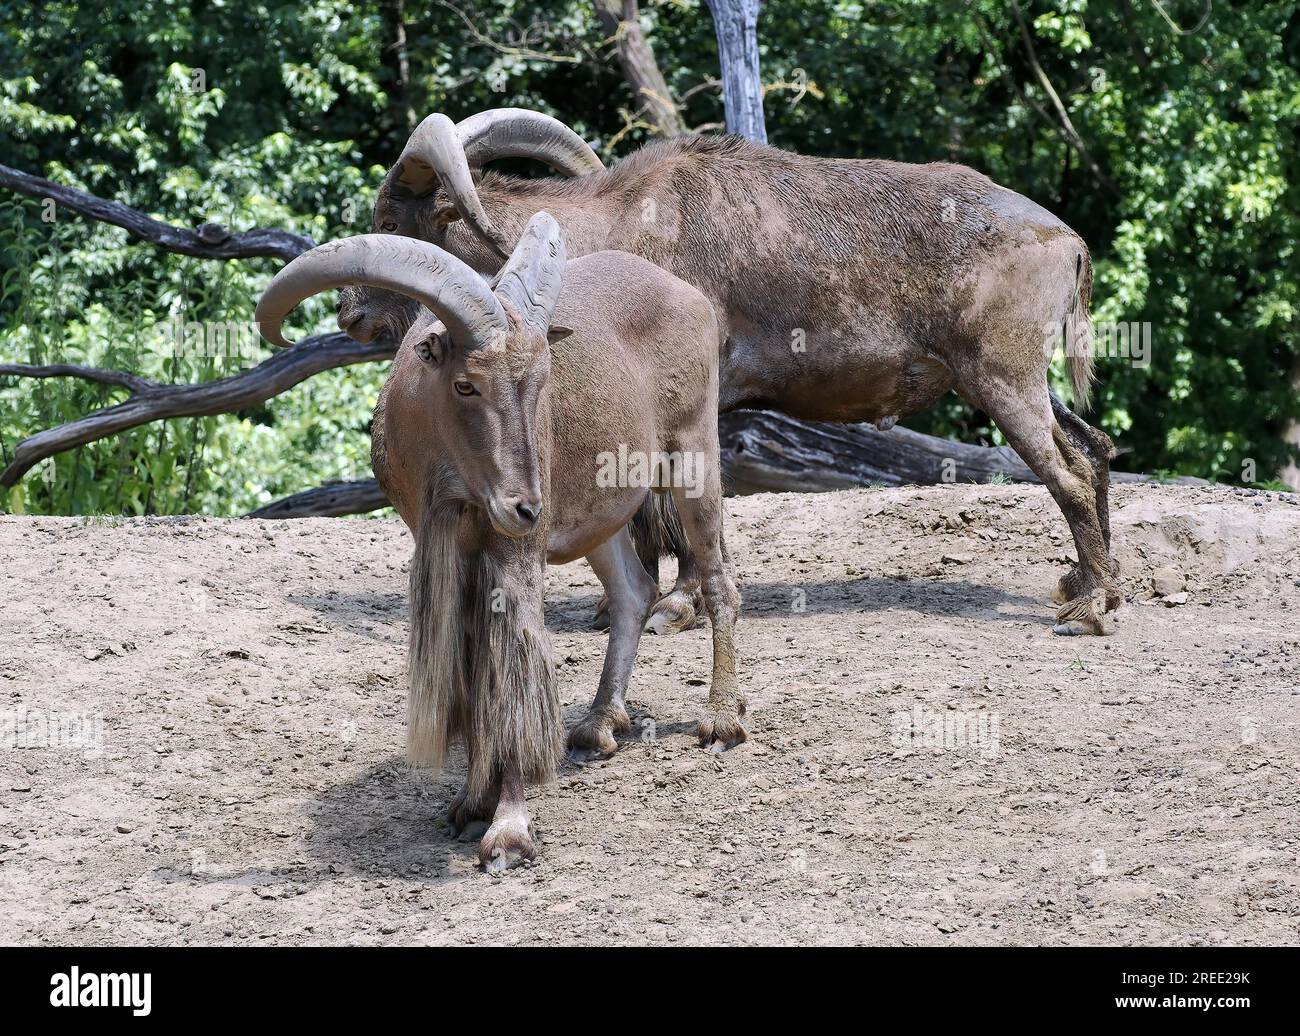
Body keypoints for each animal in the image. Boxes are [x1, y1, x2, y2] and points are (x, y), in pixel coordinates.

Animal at [255, 212, 742, 871]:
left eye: (540, 383)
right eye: (466, 385)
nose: (525, 507)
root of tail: (685, 292)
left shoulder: (513, 556)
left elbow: (512, 668)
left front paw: (507, 831)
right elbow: (472, 670)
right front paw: (469, 804)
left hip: (693, 457)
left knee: (718, 581)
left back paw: (721, 720)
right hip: (604, 513)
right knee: (633, 592)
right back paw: (597, 726)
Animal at [336, 107, 1120, 647]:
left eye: (394, 221)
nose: (349, 312)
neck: (615, 232)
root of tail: (1068, 238)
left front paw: (673, 606)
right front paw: (622, 603)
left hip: (1001, 378)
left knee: (1069, 473)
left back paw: (1091, 608)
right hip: (1024, 380)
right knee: (1094, 449)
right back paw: (1092, 584)